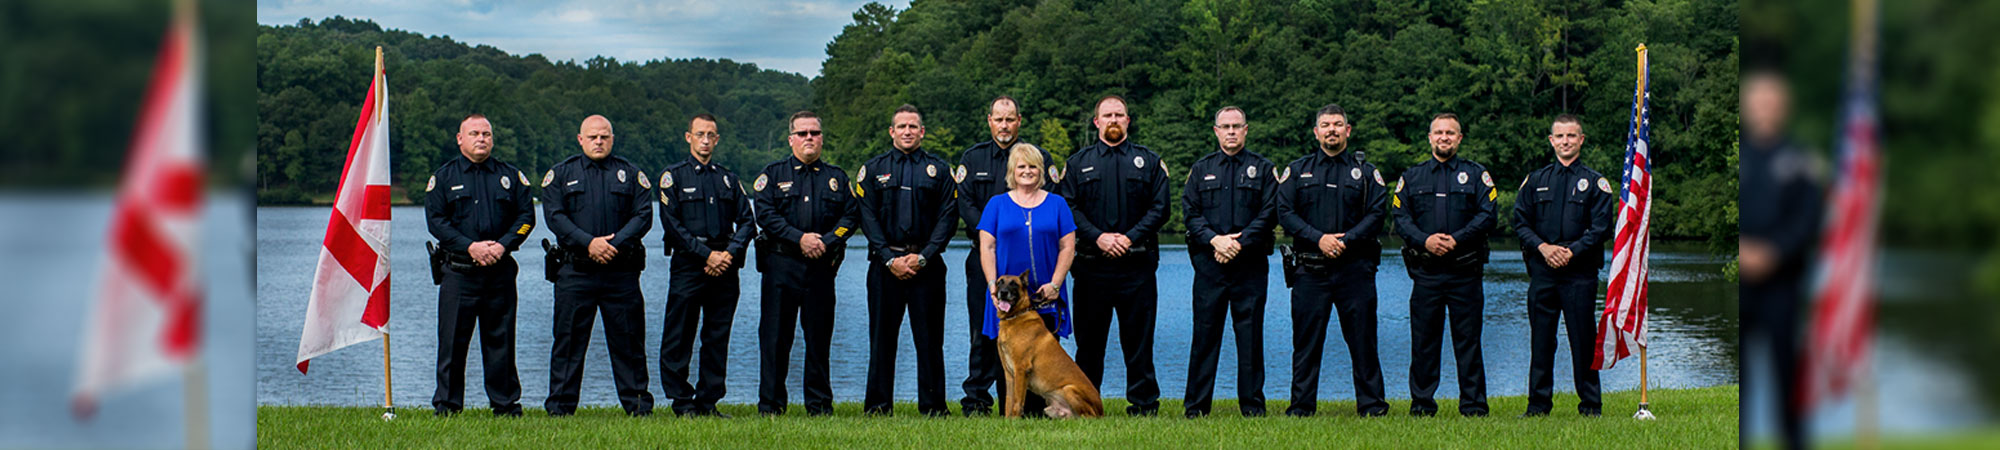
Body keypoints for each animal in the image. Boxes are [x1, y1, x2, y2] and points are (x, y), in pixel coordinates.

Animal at [992, 270, 1104, 418]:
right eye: (1000, 282)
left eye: (1014, 284)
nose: (1003, 292)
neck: (1015, 316)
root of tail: (1101, 410)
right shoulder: (1009, 374)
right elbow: (1008, 402)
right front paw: (1008, 420)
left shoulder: (1021, 369)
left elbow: (1017, 402)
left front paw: (1015, 420)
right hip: (1050, 408)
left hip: (1069, 389)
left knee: (1089, 417)